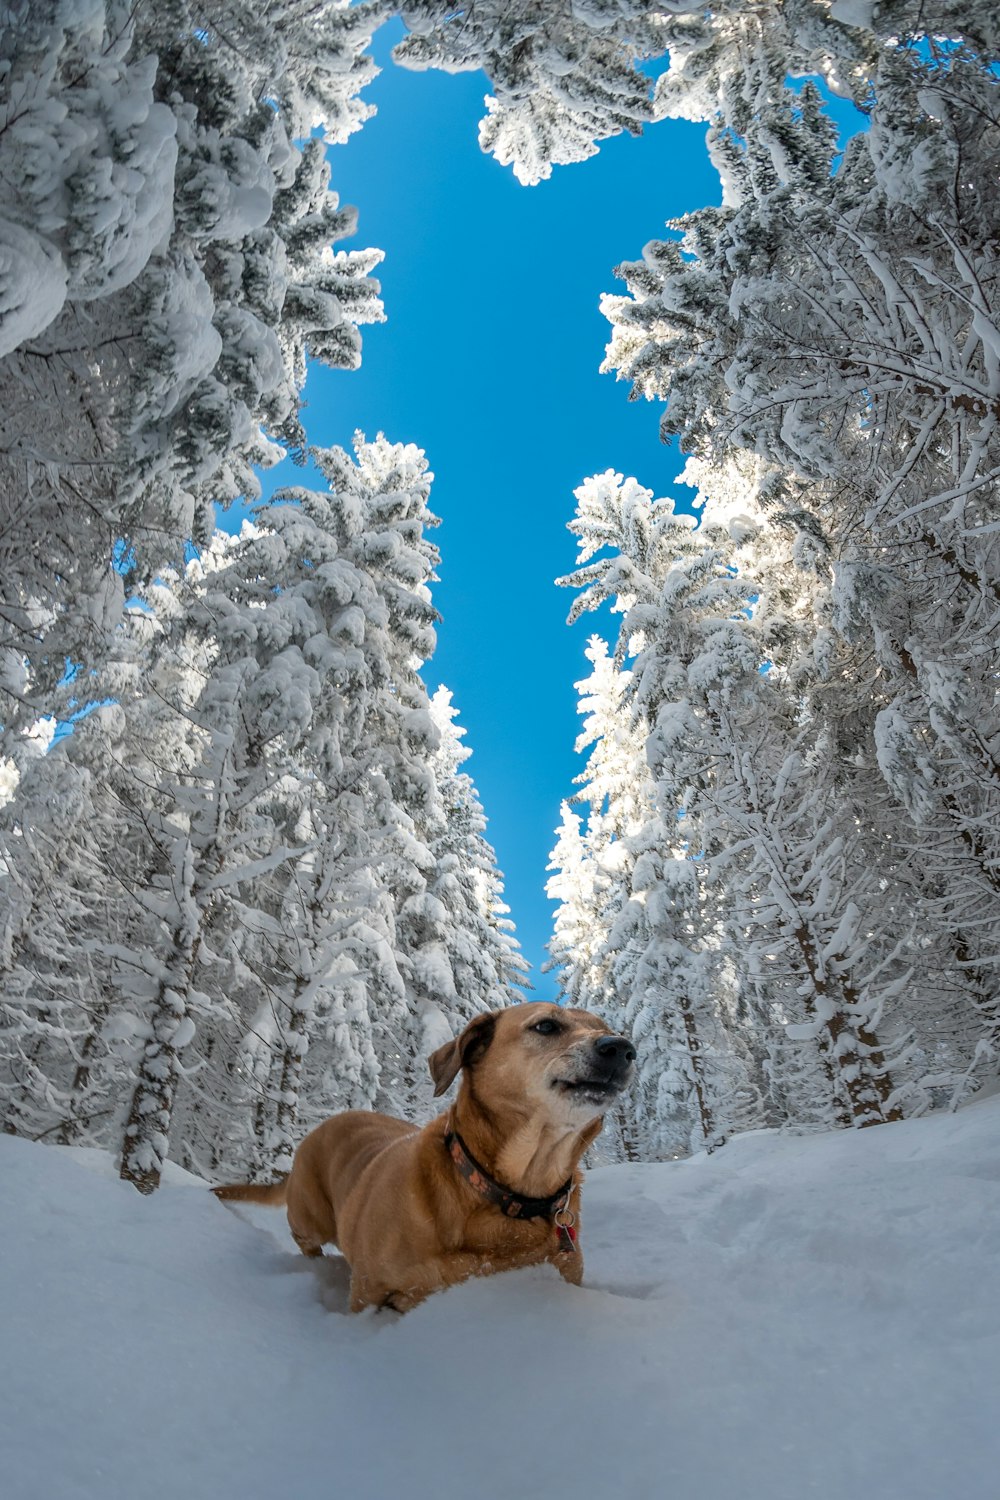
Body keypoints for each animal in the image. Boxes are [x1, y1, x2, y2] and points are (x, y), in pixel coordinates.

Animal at [212, 1008, 632, 1314]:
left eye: (605, 1027)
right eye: (546, 1025)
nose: (623, 1048)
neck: (504, 1195)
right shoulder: (367, 1293)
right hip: (310, 1218)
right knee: (306, 1241)